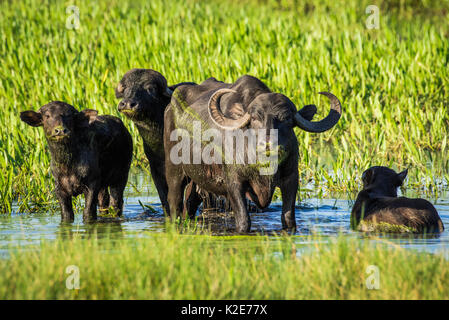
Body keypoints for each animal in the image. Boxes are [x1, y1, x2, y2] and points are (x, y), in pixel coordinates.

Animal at [163, 75, 342, 232]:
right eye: (255, 118)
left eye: (286, 118)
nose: (268, 145)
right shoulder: (234, 183)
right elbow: (244, 221)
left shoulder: (291, 179)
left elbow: (289, 219)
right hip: (174, 171)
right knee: (174, 202)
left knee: (190, 204)